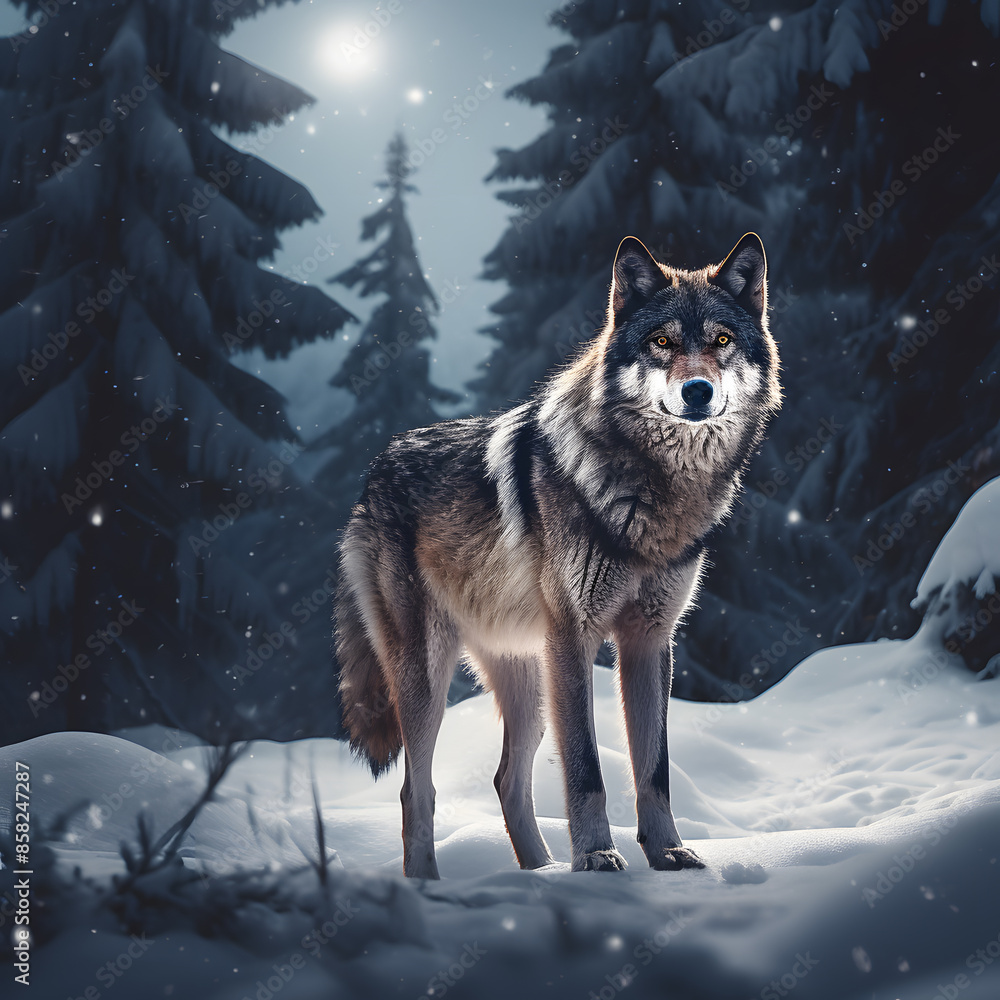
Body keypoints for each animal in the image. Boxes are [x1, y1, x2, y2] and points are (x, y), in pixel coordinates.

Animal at [336, 234, 781, 878]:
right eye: (663, 342)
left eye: (721, 340)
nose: (697, 391)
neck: (653, 490)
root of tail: (374, 471)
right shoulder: (575, 635)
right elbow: (587, 770)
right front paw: (596, 856)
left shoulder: (650, 640)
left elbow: (655, 769)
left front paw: (667, 852)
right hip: (429, 677)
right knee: (416, 789)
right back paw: (430, 884)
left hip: (526, 677)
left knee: (505, 780)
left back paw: (541, 872)